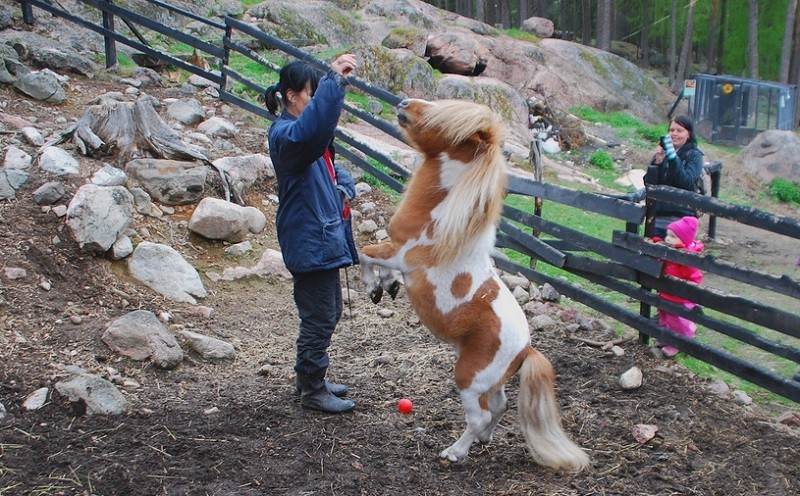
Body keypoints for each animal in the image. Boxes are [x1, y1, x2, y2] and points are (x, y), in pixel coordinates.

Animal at [360, 98, 592, 472]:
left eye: (442, 123)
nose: (403, 104)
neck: (438, 221)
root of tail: (526, 348)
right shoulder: (395, 252)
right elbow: (371, 253)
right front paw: (386, 287)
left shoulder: (399, 255)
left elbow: (364, 252)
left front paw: (374, 288)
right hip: (490, 383)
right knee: (499, 407)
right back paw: (483, 440)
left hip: (469, 379)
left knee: (479, 416)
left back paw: (455, 452)